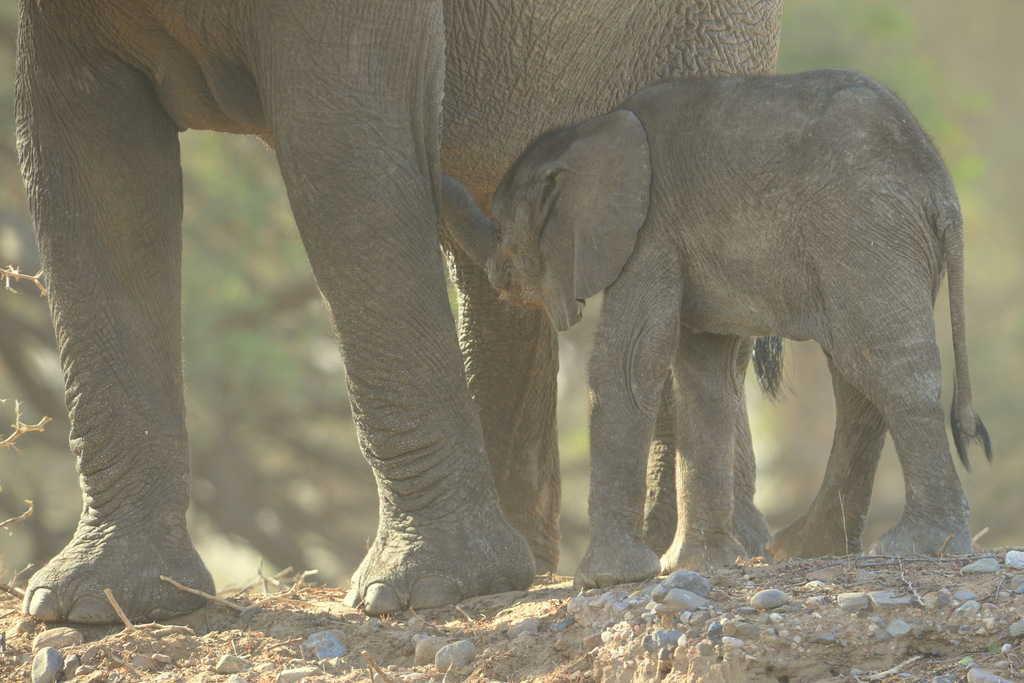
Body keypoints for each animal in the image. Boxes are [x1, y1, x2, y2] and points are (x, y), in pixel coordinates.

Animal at [16, 0, 778, 626]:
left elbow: (338, 151)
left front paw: (426, 591)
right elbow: (86, 157)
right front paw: (93, 604)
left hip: (710, 35)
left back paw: (693, 555)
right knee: (496, 292)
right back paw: (535, 567)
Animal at [444, 66, 987, 589]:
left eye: (504, 234)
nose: (440, 171)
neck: (591, 131)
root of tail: (942, 188)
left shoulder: (651, 229)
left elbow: (628, 361)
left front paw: (608, 578)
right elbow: (704, 375)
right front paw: (696, 564)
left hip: (866, 227)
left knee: (885, 363)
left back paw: (921, 545)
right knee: (857, 374)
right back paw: (806, 550)